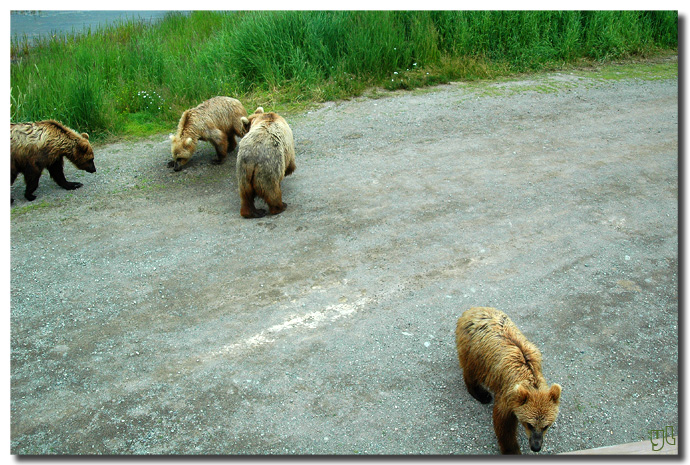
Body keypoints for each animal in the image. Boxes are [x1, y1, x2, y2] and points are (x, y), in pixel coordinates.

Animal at [454, 304, 560, 454]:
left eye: (546, 426)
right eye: (530, 424)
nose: (536, 447)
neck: (530, 377)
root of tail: (472, 310)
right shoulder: (507, 393)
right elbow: (503, 423)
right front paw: (512, 449)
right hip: (475, 353)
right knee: (471, 371)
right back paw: (482, 394)